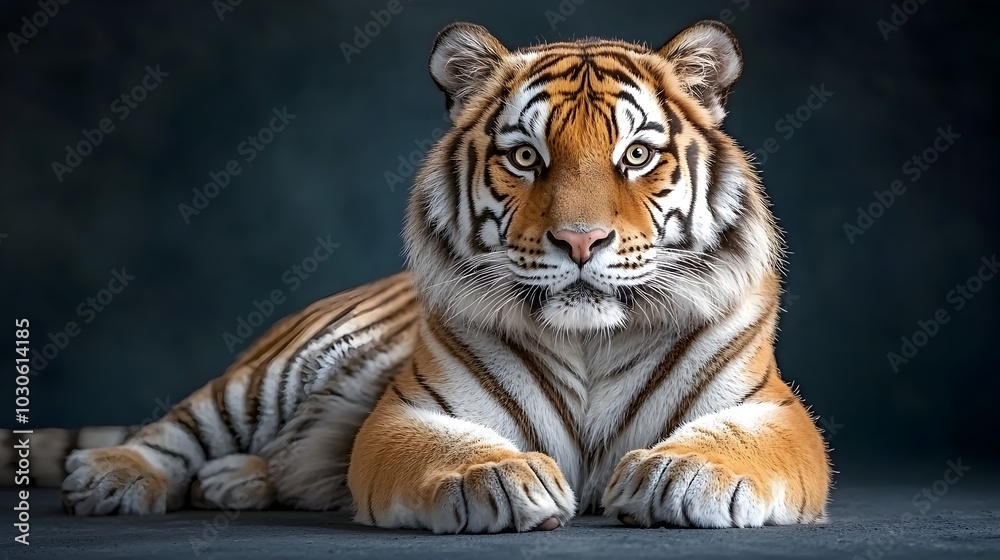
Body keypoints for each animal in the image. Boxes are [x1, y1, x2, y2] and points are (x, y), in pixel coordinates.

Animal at [4, 20, 830, 533]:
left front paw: (679, 476)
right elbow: (451, 451)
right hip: (274, 374)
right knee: (177, 427)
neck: (591, 341)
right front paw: (498, 481)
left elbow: (737, 443)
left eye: (635, 155)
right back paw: (115, 477)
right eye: (524, 156)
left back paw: (236, 481)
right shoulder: (413, 412)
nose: (581, 240)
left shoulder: (771, 409)